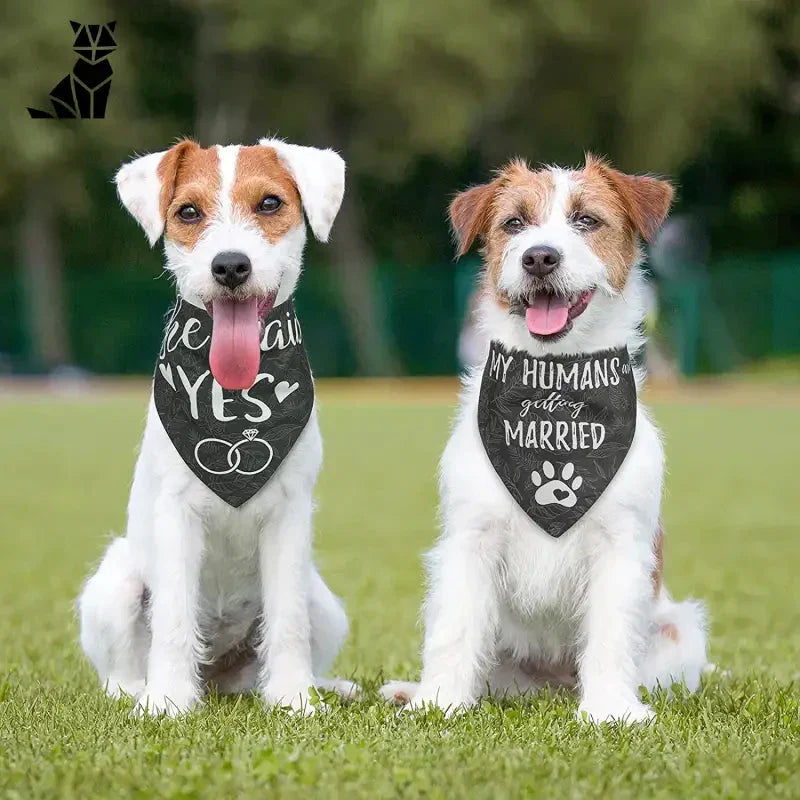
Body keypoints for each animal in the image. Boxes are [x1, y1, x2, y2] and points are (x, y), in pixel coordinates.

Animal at [79, 139, 356, 720]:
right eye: (188, 212)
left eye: (270, 203)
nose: (230, 265)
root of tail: (217, 676)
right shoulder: (176, 514)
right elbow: (174, 619)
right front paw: (166, 702)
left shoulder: (289, 515)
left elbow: (288, 624)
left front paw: (294, 698)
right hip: (116, 582)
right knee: (119, 671)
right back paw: (138, 690)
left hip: (322, 601)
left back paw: (322, 685)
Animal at [380, 153, 708, 720]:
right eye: (514, 223)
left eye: (586, 220)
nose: (539, 257)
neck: (555, 384)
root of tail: (554, 686)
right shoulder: (470, 541)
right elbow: (454, 631)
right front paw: (438, 703)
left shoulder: (619, 548)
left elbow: (610, 635)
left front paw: (612, 710)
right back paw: (413, 690)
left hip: (678, 629)